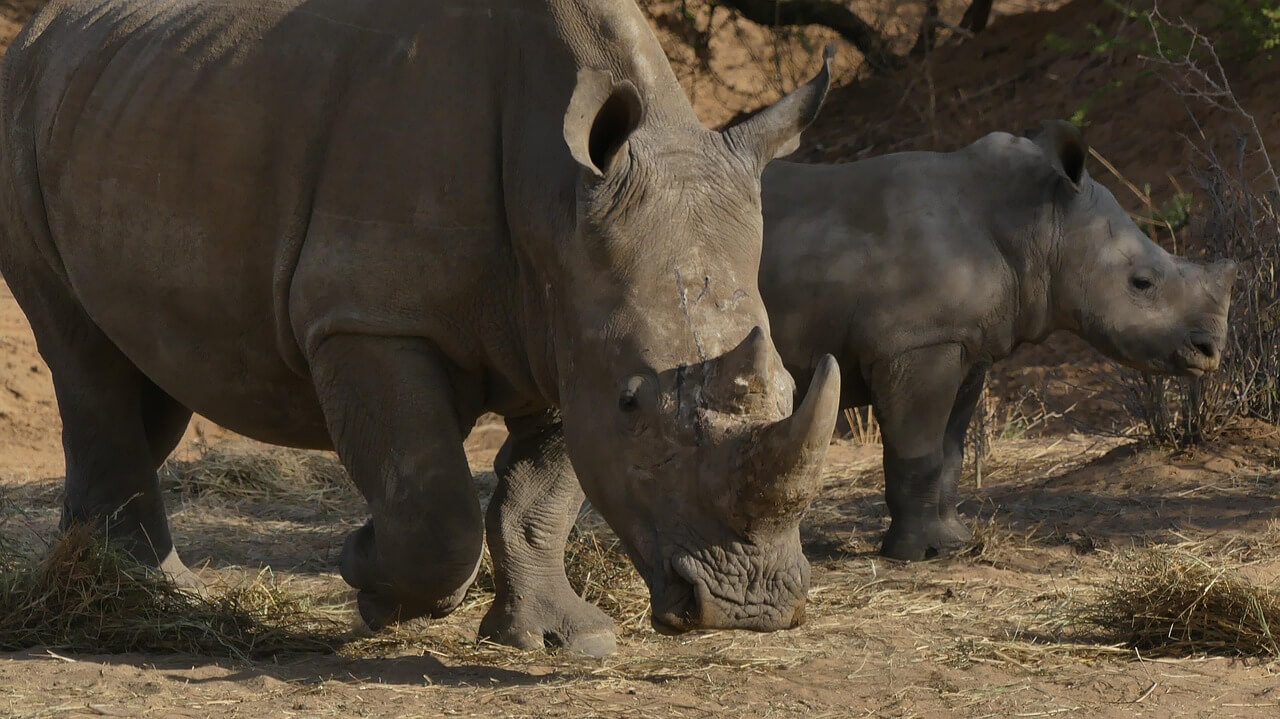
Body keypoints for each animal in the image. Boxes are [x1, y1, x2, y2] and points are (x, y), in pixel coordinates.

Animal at [0, 0, 843, 656]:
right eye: (634, 402)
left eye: (788, 385)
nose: (750, 606)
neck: (556, 189)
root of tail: (39, 28)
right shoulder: (369, 319)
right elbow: (436, 506)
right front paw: (368, 576)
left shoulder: (568, 324)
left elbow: (541, 495)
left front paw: (562, 639)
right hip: (25, 109)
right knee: (86, 358)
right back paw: (155, 599)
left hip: (133, 99)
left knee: (150, 375)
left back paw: (85, 576)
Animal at [758, 121, 1236, 561]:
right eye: (1142, 283)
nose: (1210, 352)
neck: (1039, 223)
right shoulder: (917, 342)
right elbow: (918, 450)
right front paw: (914, 554)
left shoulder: (967, 346)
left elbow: (950, 453)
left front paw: (953, 544)